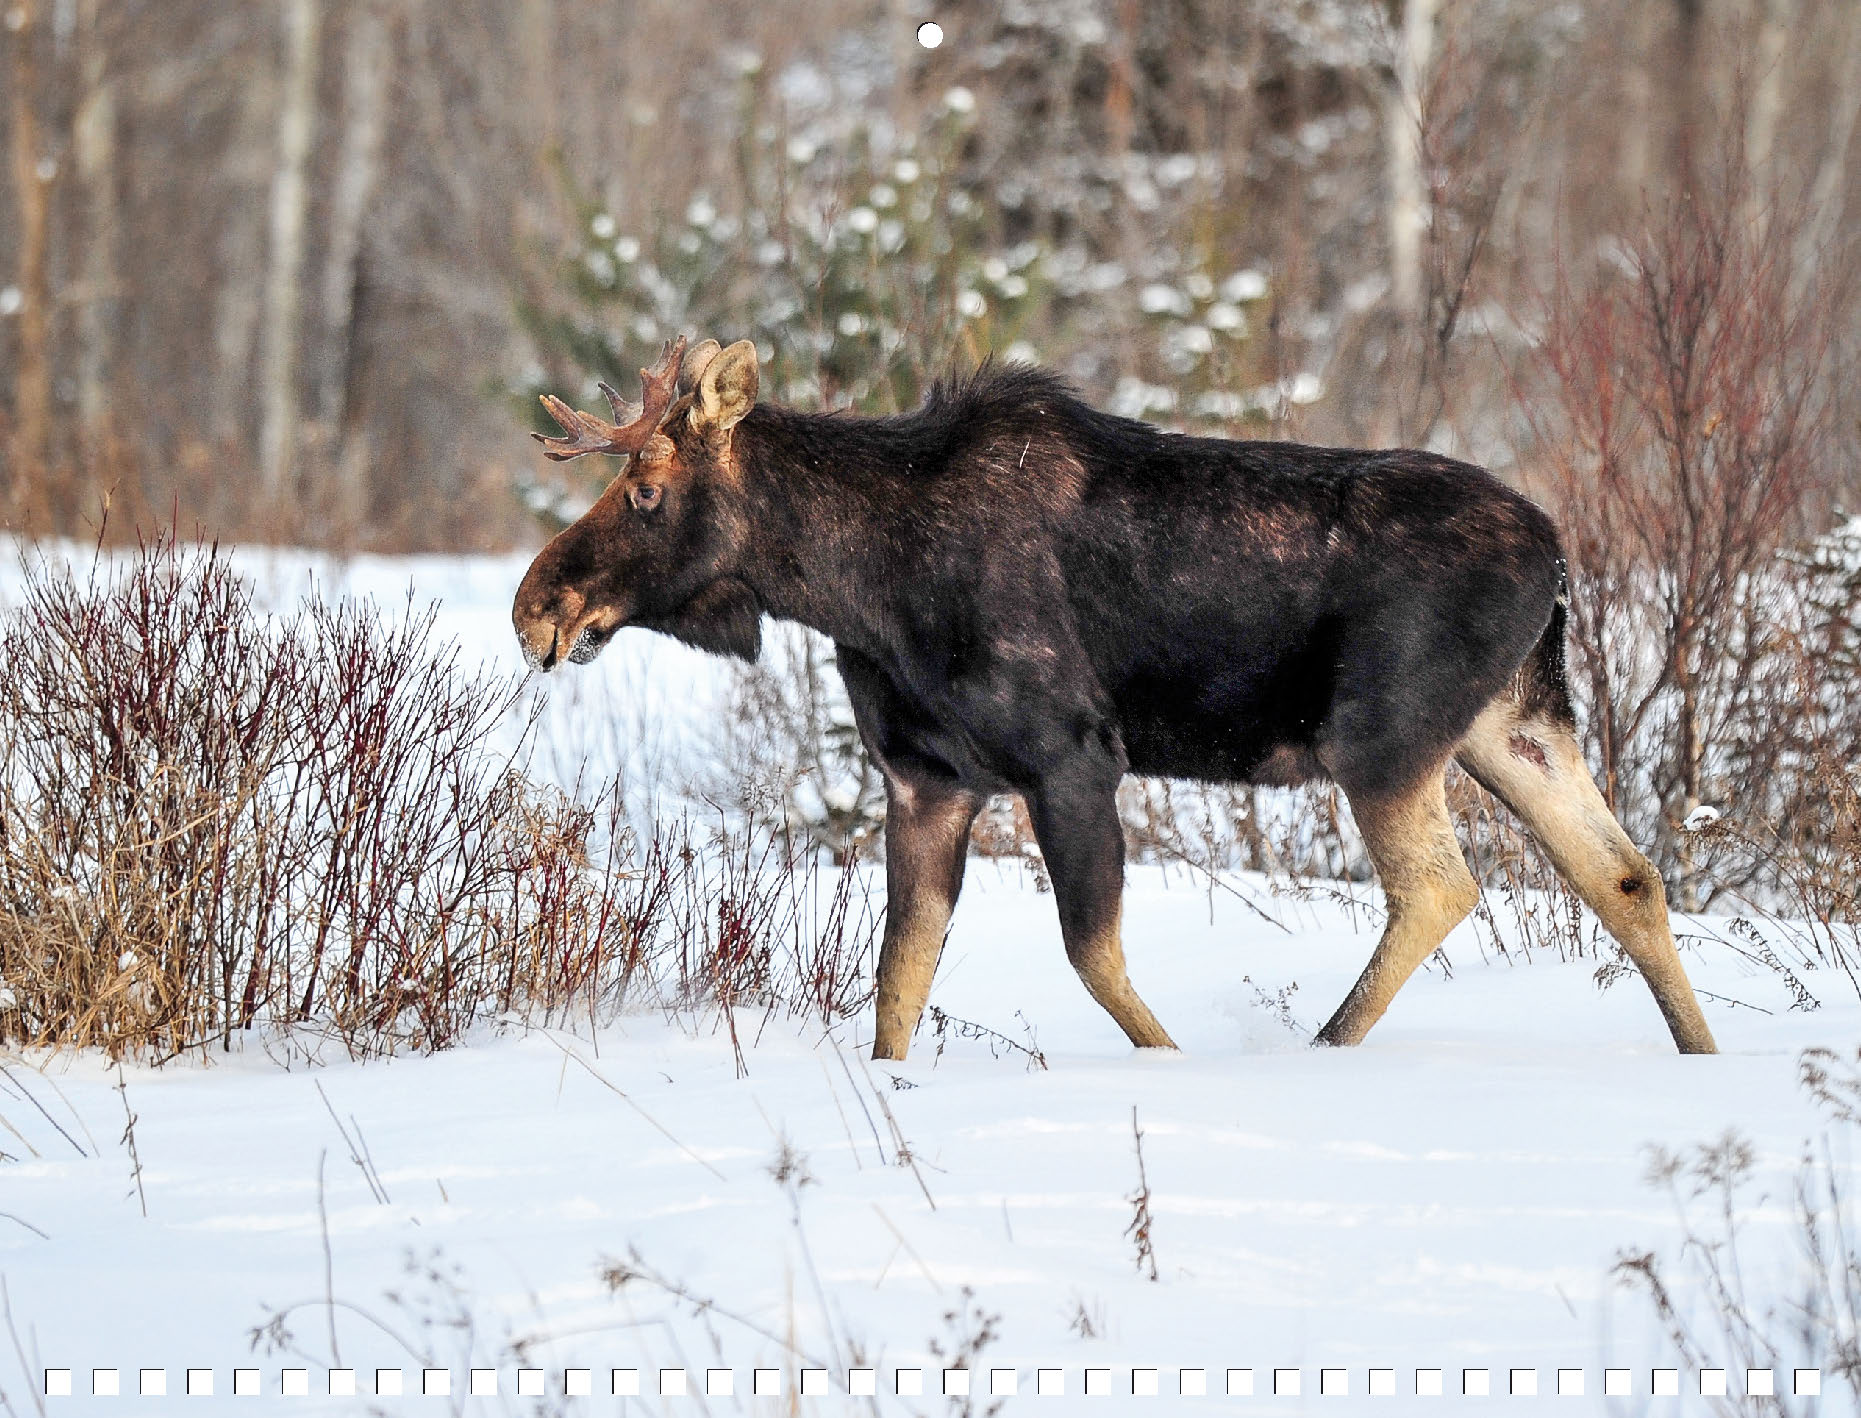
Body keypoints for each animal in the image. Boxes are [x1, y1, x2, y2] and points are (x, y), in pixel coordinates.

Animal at [512, 335, 1718, 1061]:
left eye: (647, 489)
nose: (535, 606)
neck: (857, 588)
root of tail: (1556, 557)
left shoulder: (1071, 755)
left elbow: (1091, 955)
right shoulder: (926, 780)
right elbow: (898, 979)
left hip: (1381, 734)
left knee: (1438, 885)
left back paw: (1327, 1047)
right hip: (1515, 721)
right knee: (1623, 872)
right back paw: (1697, 1054)